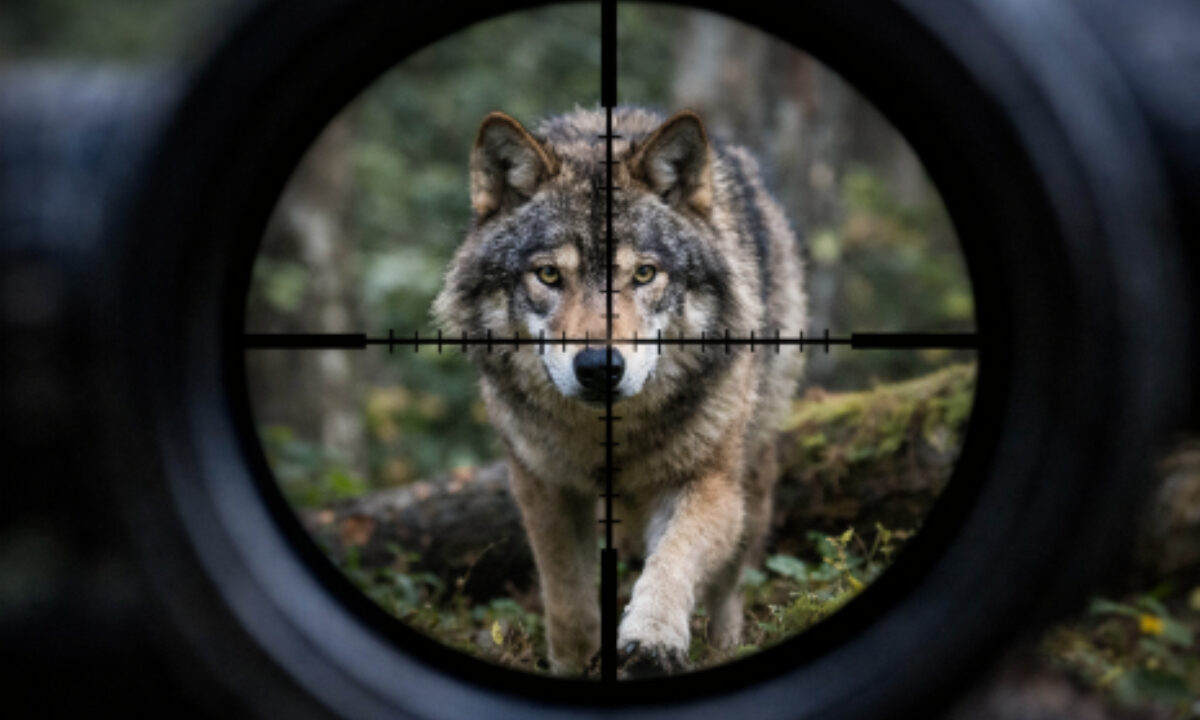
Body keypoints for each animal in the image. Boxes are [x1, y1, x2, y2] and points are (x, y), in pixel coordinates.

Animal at [433, 106, 806, 676]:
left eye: (644, 274)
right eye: (548, 275)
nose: (598, 367)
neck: (609, 437)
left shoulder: (710, 482)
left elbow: (673, 559)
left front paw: (652, 639)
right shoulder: (544, 488)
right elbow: (568, 604)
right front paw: (575, 664)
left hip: (752, 477)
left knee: (729, 586)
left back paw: (724, 647)